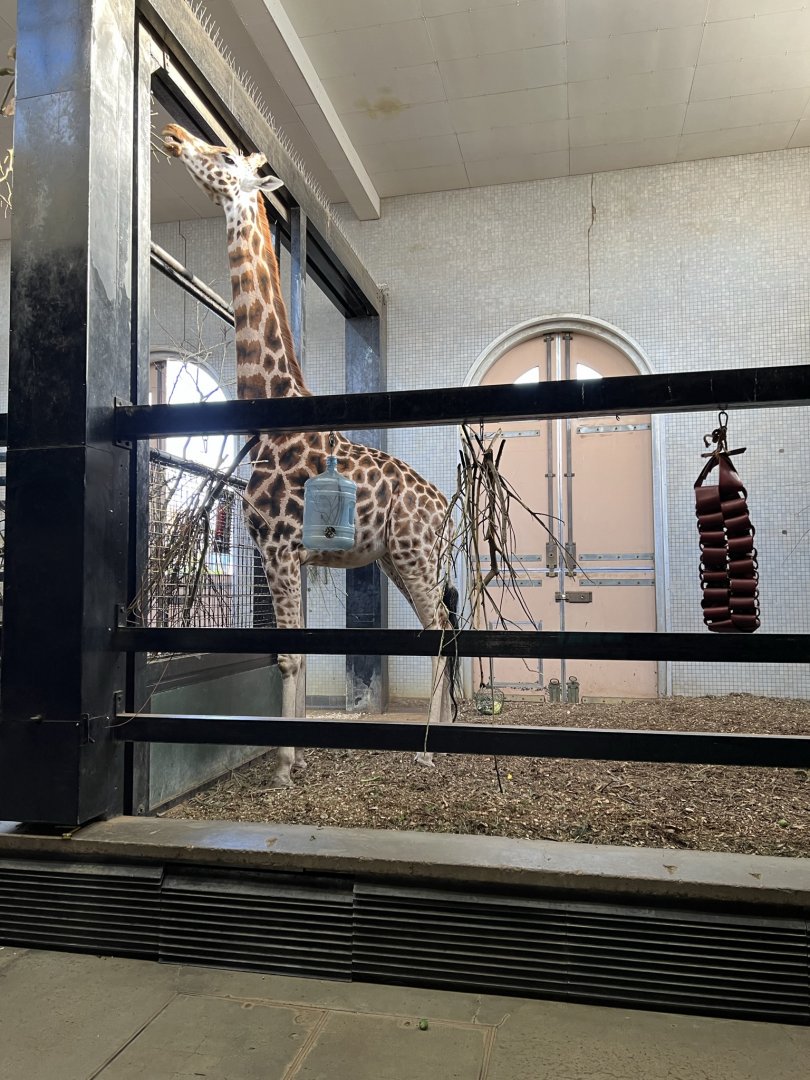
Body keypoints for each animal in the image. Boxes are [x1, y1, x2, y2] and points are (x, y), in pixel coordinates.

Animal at [162, 125, 457, 787]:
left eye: (224, 155)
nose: (171, 134)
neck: (273, 417)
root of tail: (446, 509)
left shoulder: (275, 545)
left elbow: (290, 657)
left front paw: (282, 766)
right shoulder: (288, 553)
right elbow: (290, 650)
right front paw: (293, 754)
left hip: (414, 555)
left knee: (442, 631)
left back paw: (430, 748)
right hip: (401, 560)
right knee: (447, 628)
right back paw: (450, 733)